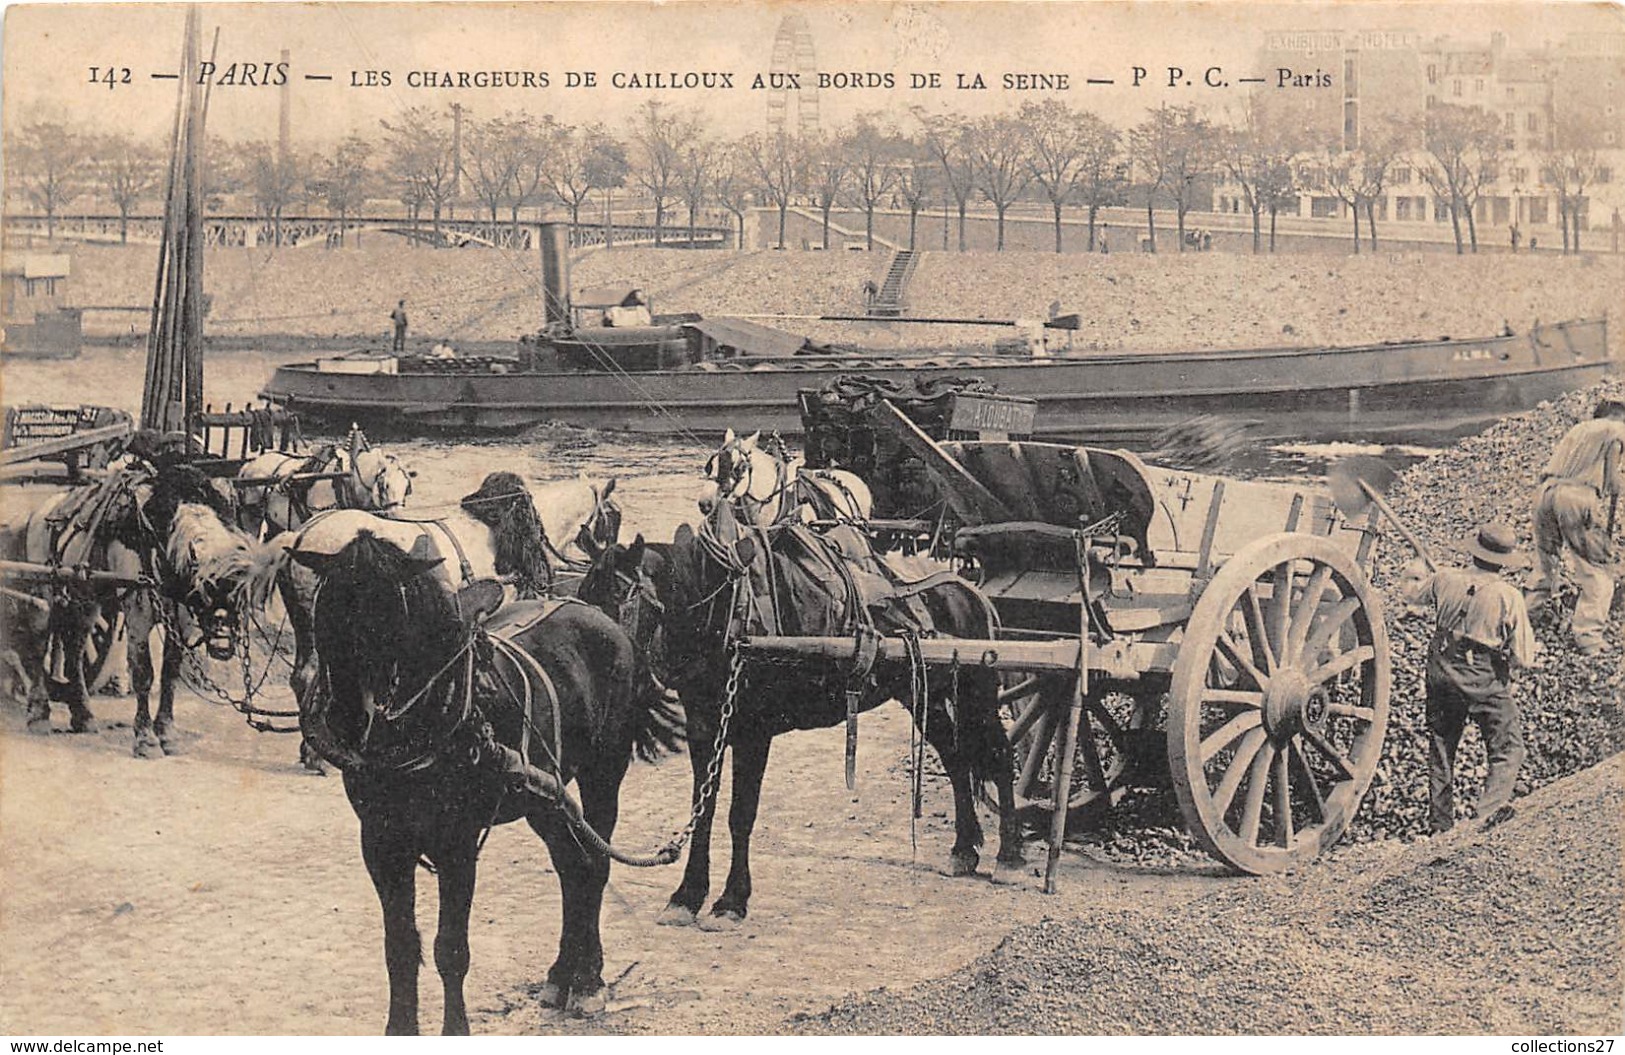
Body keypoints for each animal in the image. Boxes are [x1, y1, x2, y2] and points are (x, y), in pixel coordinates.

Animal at [279, 516, 679, 1027]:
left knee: (596, 862)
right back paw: (561, 975)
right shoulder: (381, 842)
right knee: (573, 865)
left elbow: (450, 950)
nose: (345, 717)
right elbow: (399, 947)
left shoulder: (457, 844)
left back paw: (588, 980)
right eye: (326, 605)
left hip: (602, 774)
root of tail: (596, 616)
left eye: (388, 609)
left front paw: (456, 1029)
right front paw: (400, 1027)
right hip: (543, 797)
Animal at [578, 503, 1020, 929]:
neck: (725, 615)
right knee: (956, 759)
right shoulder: (705, 729)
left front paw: (731, 901)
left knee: (998, 756)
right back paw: (963, 850)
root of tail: (969, 590)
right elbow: (702, 813)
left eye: (622, 593)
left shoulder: (753, 733)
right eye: (583, 594)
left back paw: (1010, 857)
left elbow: (741, 815)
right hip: (923, 694)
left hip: (977, 693)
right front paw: (686, 897)